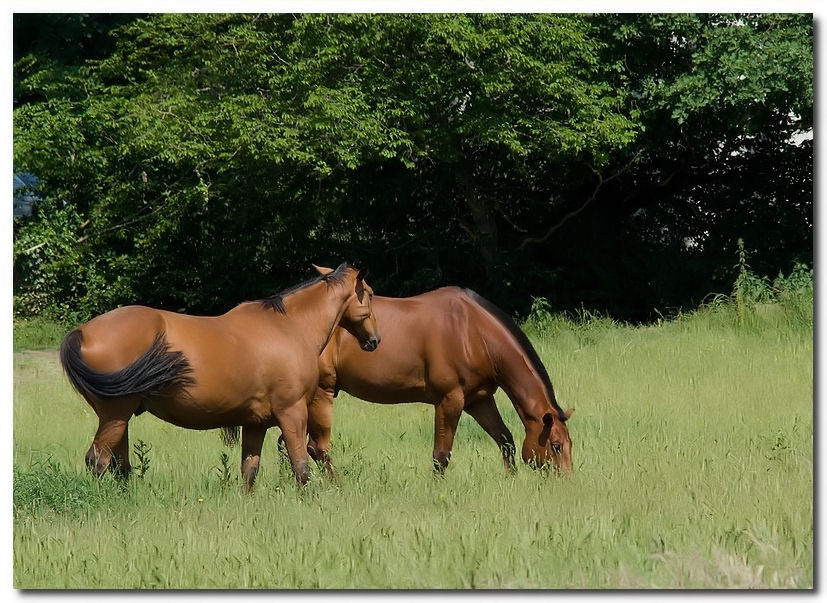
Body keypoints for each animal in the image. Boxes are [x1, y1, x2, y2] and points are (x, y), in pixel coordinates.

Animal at [59, 262, 379, 491]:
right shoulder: (293, 413)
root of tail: (82, 332)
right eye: (371, 293)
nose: (375, 340)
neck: (289, 327)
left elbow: (249, 471)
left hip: (118, 419)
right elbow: (301, 467)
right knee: (98, 460)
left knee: (118, 465)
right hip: (115, 415)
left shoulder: (255, 423)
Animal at [302, 268, 574, 478]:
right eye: (556, 446)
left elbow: (505, 440)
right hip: (321, 394)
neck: (473, 332)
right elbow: (441, 456)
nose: (566, 482)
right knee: (316, 448)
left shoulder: (479, 400)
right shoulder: (449, 400)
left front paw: (511, 480)